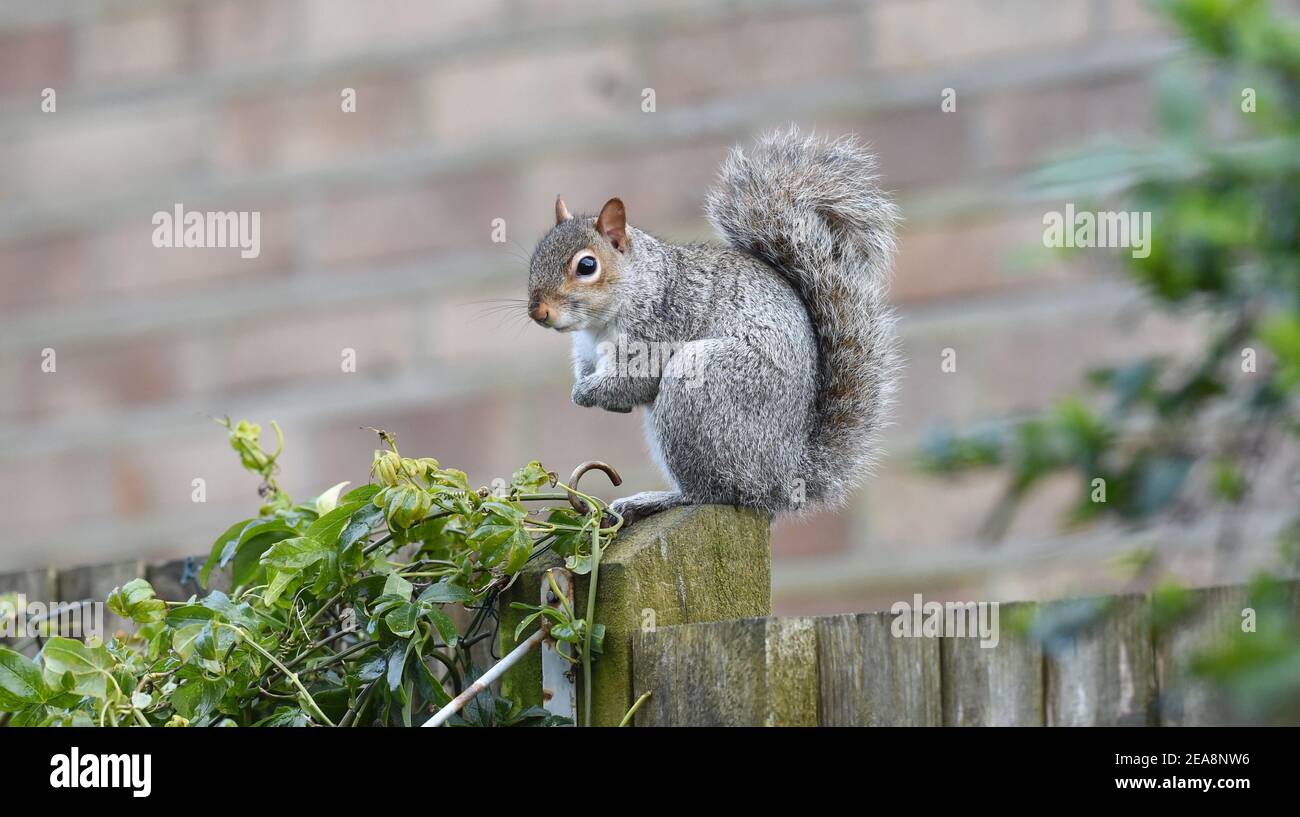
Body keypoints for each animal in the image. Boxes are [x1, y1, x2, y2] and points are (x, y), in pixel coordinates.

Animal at [522, 127, 899, 522]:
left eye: (587, 266)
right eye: (535, 258)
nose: (538, 312)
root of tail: (784, 478)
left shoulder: (658, 328)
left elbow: (634, 381)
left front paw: (586, 393)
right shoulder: (586, 348)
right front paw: (583, 388)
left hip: (702, 388)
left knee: (711, 491)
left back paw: (656, 499)